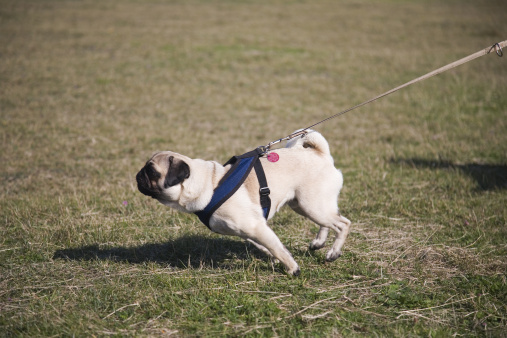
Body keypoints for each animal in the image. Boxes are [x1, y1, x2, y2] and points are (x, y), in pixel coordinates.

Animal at [138, 131, 354, 276]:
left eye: (152, 172)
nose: (138, 175)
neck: (208, 184)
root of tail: (320, 154)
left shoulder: (254, 227)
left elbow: (276, 248)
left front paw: (293, 269)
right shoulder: (250, 231)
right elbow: (270, 247)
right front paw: (278, 259)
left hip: (312, 205)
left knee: (342, 224)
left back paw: (333, 252)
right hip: (303, 204)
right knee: (328, 222)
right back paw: (319, 242)